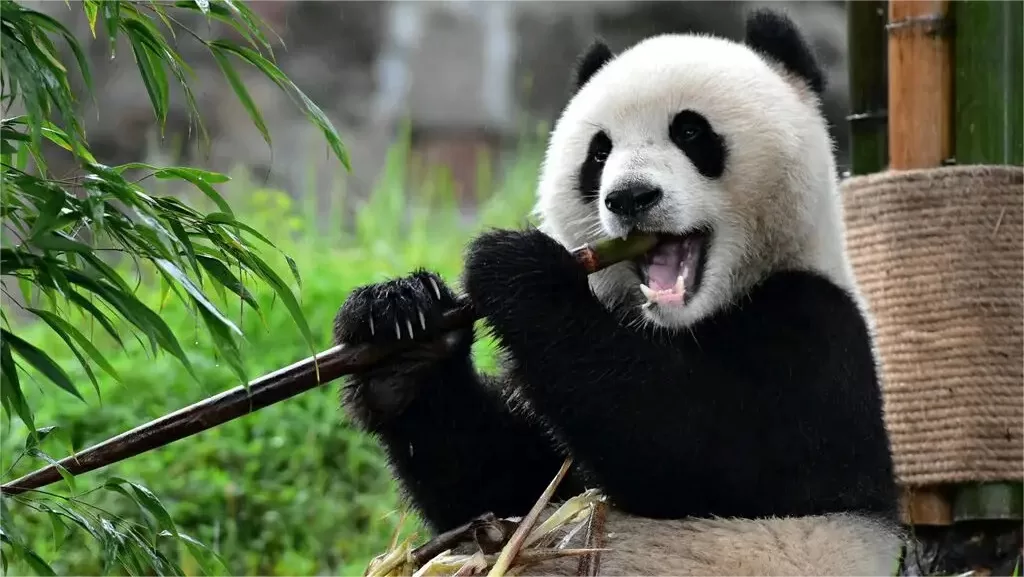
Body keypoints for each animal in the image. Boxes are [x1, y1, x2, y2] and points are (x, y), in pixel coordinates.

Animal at [333, 8, 904, 576]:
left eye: (690, 131)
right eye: (599, 151)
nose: (630, 197)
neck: (682, 322)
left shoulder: (819, 330)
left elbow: (719, 450)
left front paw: (518, 267)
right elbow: (505, 487)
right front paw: (403, 332)